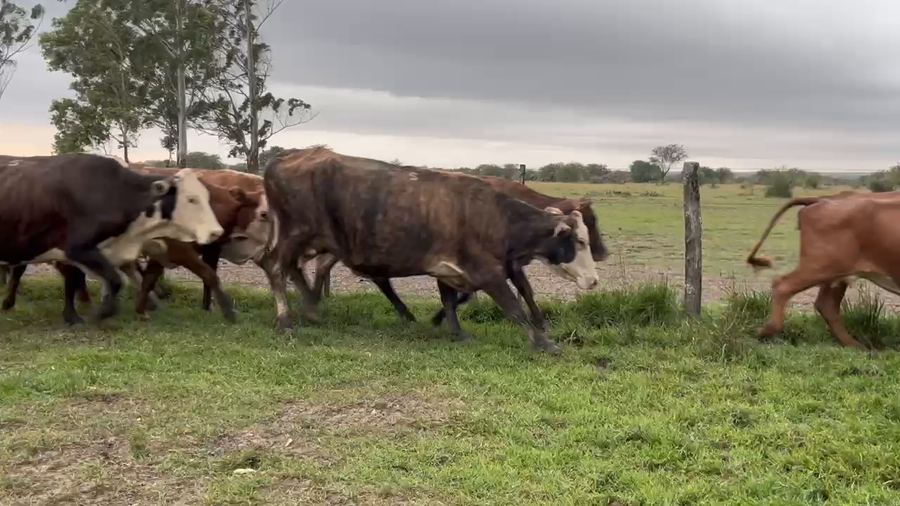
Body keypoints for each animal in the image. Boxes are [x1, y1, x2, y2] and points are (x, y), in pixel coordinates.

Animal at [0, 153, 224, 324]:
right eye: (191, 199)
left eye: (206, 197)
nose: (216, 232)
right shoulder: (78, 249)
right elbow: (114, 280)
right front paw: (102, 313)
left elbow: (75, 282)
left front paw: (73, 317)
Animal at [262, 147, 600, 355]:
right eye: (580, 242)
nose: (595, 280)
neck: (493, 216)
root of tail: (286, 156)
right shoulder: (488, 273)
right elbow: (515, 308)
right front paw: (544, 343)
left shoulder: (449, 270)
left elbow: (450, 301)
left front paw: (455, 332)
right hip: (296, 235)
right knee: (278, 269)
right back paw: (286, 320)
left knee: (297, 270)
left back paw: (311, 309)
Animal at [746, 191, 900, 350]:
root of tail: (824, 199)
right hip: (819, 267)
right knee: (783, 286)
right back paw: (766, 331)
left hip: (835, 274)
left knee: (826, 306)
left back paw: (855, 345)